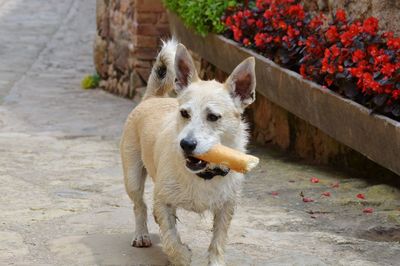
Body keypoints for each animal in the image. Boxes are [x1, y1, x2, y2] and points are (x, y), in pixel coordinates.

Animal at [119, 40, 256, 266]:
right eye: (184, 113)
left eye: (213, 117)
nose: (186, 144)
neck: (203, 174)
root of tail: (152, 97)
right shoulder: (163, 200)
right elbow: (171, 238)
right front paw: (182, 255)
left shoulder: (226, 207)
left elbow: (218, 240)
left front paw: (215, 261)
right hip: (133, 177)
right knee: (140, 205)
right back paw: (141, 234)